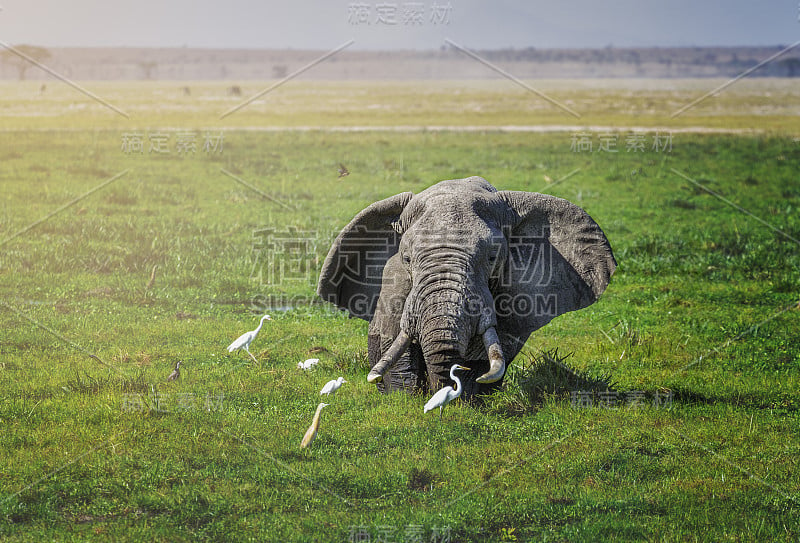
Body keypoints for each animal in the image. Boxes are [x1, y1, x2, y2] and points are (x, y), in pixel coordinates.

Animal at [316, 177, 616, 400]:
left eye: (493, 257)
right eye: (407, 258)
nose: (440, 392)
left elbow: (486, 348)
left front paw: (467, 399)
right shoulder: (394, 283)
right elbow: (394, 341)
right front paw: (404, 400)